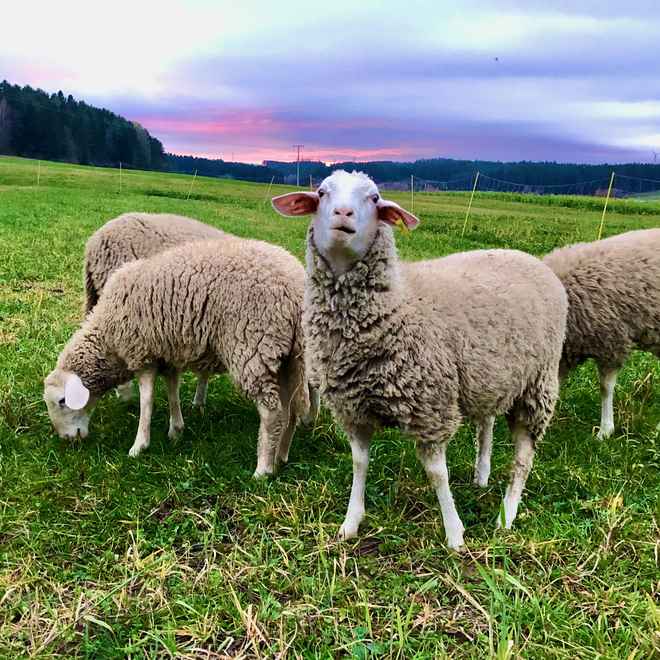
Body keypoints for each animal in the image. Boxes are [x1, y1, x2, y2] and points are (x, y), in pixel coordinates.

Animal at [44, 237, 310, 477]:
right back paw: (281, 457)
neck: (108, 337)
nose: (68, 439)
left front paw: (139, 446)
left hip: (253, 349)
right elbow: (173, 391)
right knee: (291, 409)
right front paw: (176, 430)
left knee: (272, 412)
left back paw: (263, 469)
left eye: (62, 401)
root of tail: (296, 288)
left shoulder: (142, 353)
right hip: (289, 358)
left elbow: (147, 400)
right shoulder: (167, 355)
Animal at [272, 170, 567, 549]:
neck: (396, 303)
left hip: (538, 385)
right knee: (485, 424)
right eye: (322, 193)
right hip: (488, 377)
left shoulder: (430, 407)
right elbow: (359, 465)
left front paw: (455, 534)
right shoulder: (355, 409)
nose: (342, 214)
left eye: (374, 198)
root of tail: (530, 258)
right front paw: (351, 523)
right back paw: (481, 476)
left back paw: (507, 513)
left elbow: (437, 474)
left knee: (523, 458)